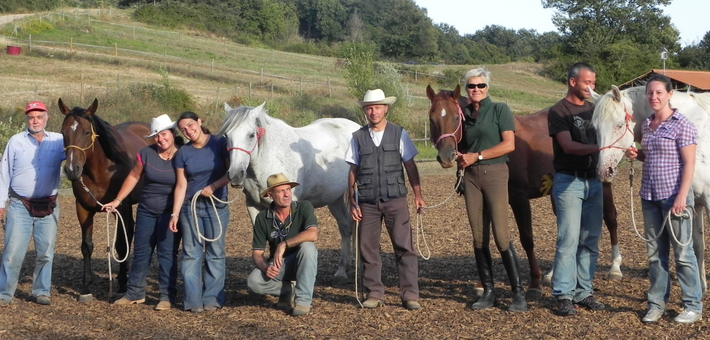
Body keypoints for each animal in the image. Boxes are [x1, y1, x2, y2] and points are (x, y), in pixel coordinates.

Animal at [59, 99, 154, 302]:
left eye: (86, 132)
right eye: (63, 132)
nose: (71, 169)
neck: (101, 172)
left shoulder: (121, 207)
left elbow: (120, 244)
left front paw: (123, 286)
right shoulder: (83, 208)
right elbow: (87, 246)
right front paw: (85, 288)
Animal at [218, 102, 362, 286]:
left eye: (251, 135)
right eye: (226, 135)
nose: (235, 174)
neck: (269, 157)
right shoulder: (252, 205)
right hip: (334, 198)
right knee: (345, 227)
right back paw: (342, 272)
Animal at [428, 85, 624, 298]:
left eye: (456, 117)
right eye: (432, 117)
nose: (446, 156)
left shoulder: (518, 197)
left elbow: (527, 239)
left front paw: (534, 283)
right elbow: (484, 237)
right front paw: (482, 284)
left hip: (604, 183)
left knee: (611, 218)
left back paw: (615, 268)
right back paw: (554, 273)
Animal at [592, 84, 710, 290]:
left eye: (619, 125)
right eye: (594, 128)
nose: (604, 171)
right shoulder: (695, 203)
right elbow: (698, 246)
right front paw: (702, 288)